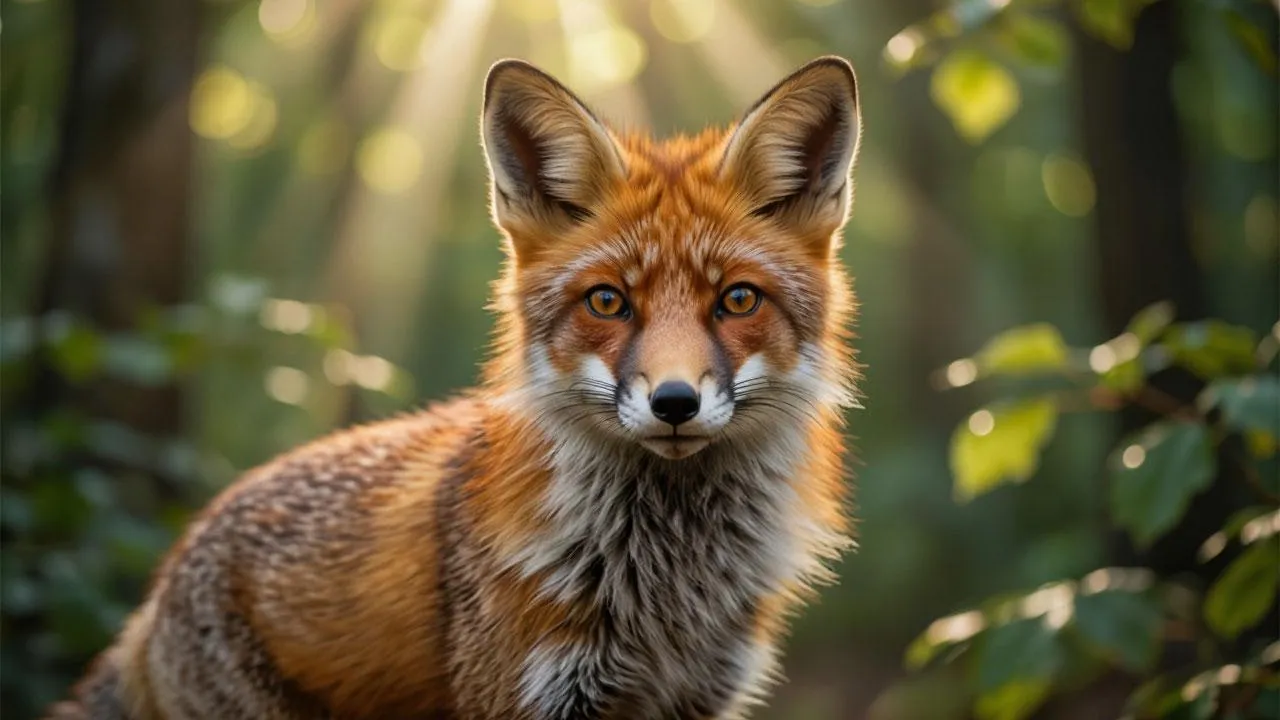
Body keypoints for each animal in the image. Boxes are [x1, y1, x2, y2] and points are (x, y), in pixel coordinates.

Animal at [46, 54, 863, 720]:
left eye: (737, 300)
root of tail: (162, 583)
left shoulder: (697, 697)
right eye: (607, 302)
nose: (673, 403)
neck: (664, 589)